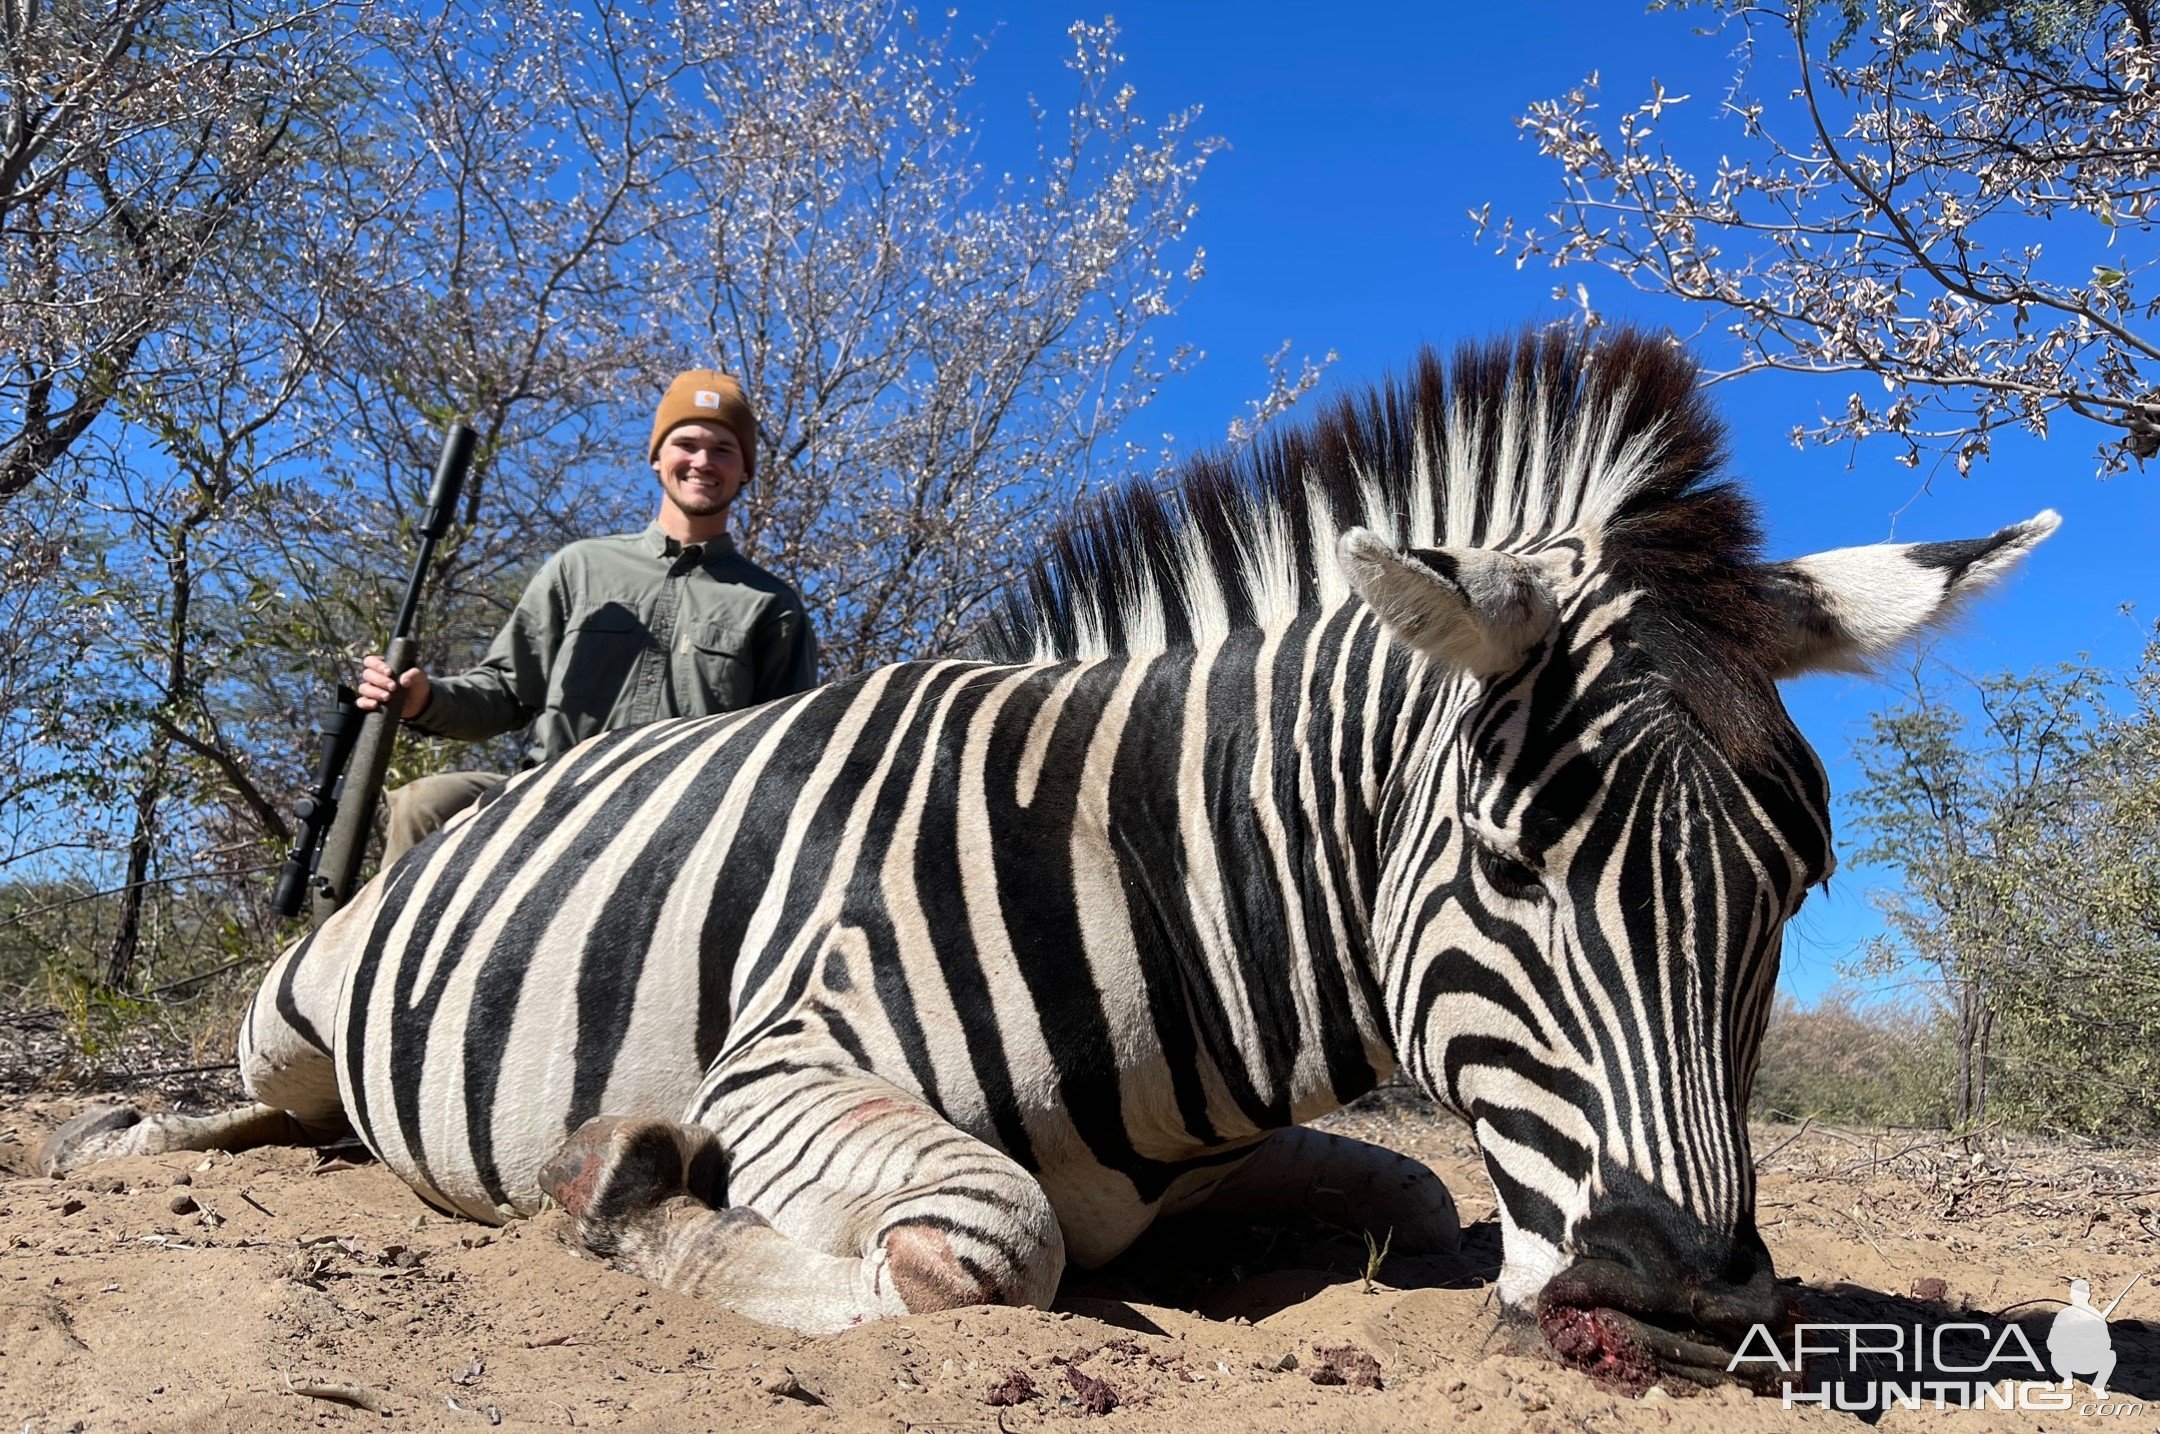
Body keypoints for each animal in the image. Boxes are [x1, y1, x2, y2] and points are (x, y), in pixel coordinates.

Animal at [42, 330, 2047, 1382]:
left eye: (1794, 885)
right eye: (1508, 859)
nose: (1682, 1306)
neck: (1171, 892)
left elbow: (1412, 1194)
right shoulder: (787, 1061)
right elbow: (983, 1247)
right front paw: (622, 1187)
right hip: (301, 1011)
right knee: (247, 1099)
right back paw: (117, 1133)